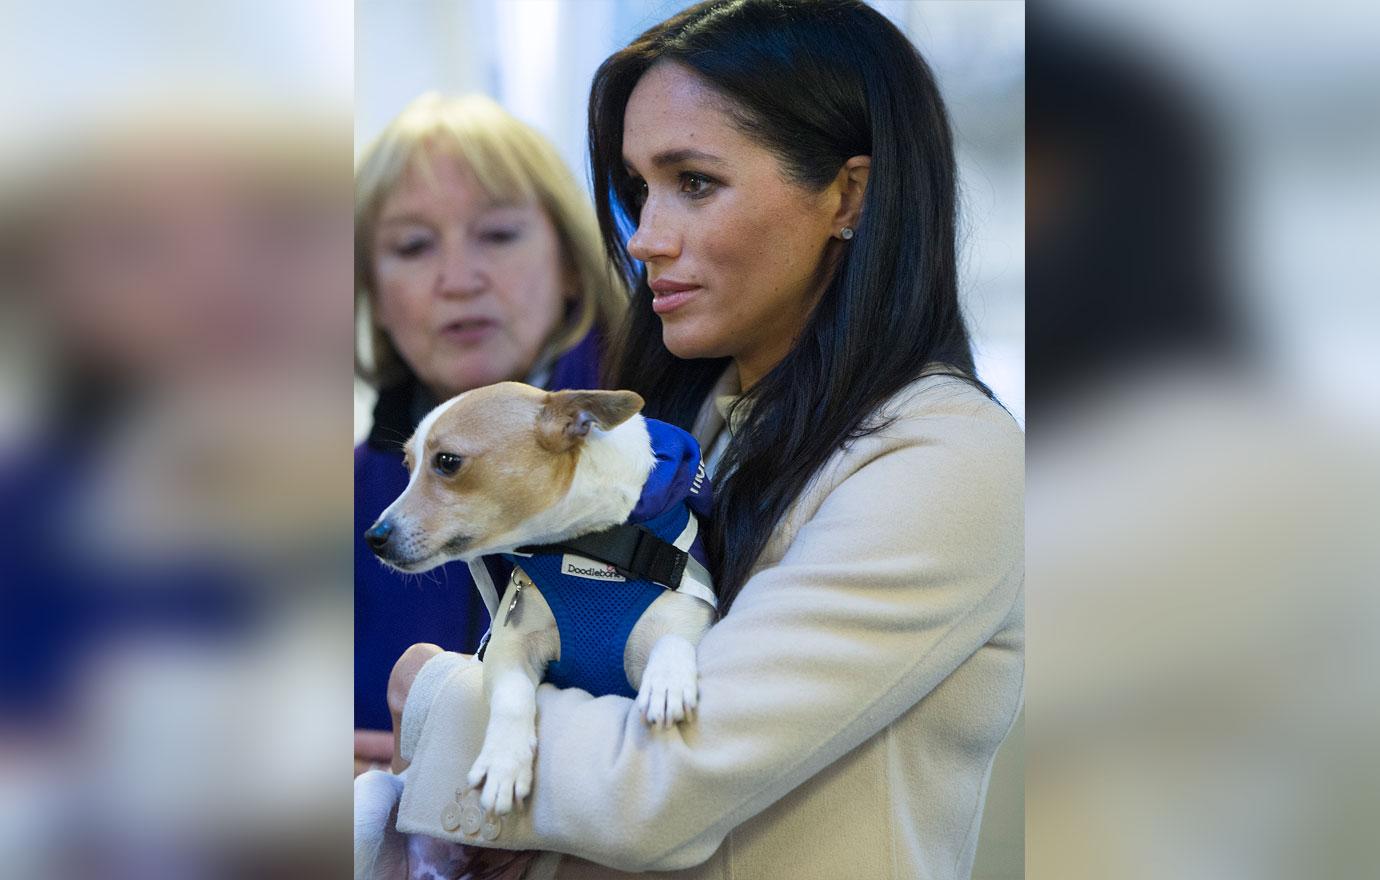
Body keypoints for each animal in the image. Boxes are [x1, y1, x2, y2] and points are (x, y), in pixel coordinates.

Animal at [361, 383, 717, 822]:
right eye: (407, 465)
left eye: (447, 462)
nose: (373, 537)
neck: (590, 550)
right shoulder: (509, 648)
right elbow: (513, 695)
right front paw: (503, 761)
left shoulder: (687, 617)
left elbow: (673, 640)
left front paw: (667, 681)